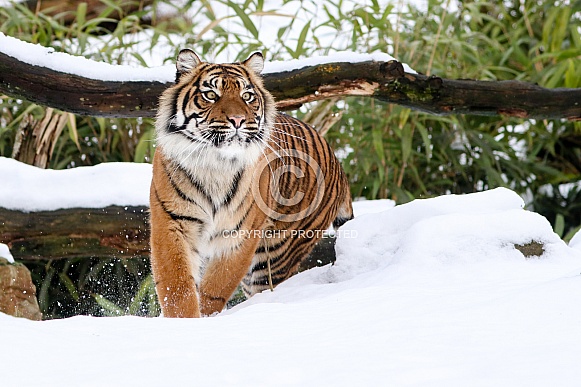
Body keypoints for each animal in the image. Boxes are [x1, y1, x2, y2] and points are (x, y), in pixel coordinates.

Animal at [147, 49, 352, 318]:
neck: (216, 164)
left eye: (247, 96)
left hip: (276, 255)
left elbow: (215, 288)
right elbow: (176, 287)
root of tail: (339, 166)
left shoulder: (239, 236)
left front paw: (206, 316)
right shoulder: (172, 223)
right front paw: (185, 320)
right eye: (211, 95)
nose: (237, 120)